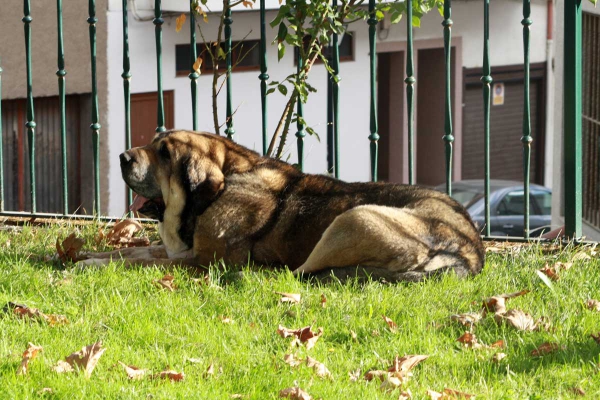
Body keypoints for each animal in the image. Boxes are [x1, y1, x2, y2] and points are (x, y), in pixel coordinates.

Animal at [83, 131, 482, 282]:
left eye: (165, 154)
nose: (122, 157)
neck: (227, 180)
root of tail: (469, 253)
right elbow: (136, 251)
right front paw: (89, 255)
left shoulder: (201, 260)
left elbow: (142, 260)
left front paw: (91, 263)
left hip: (354, 217)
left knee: (298, 273)